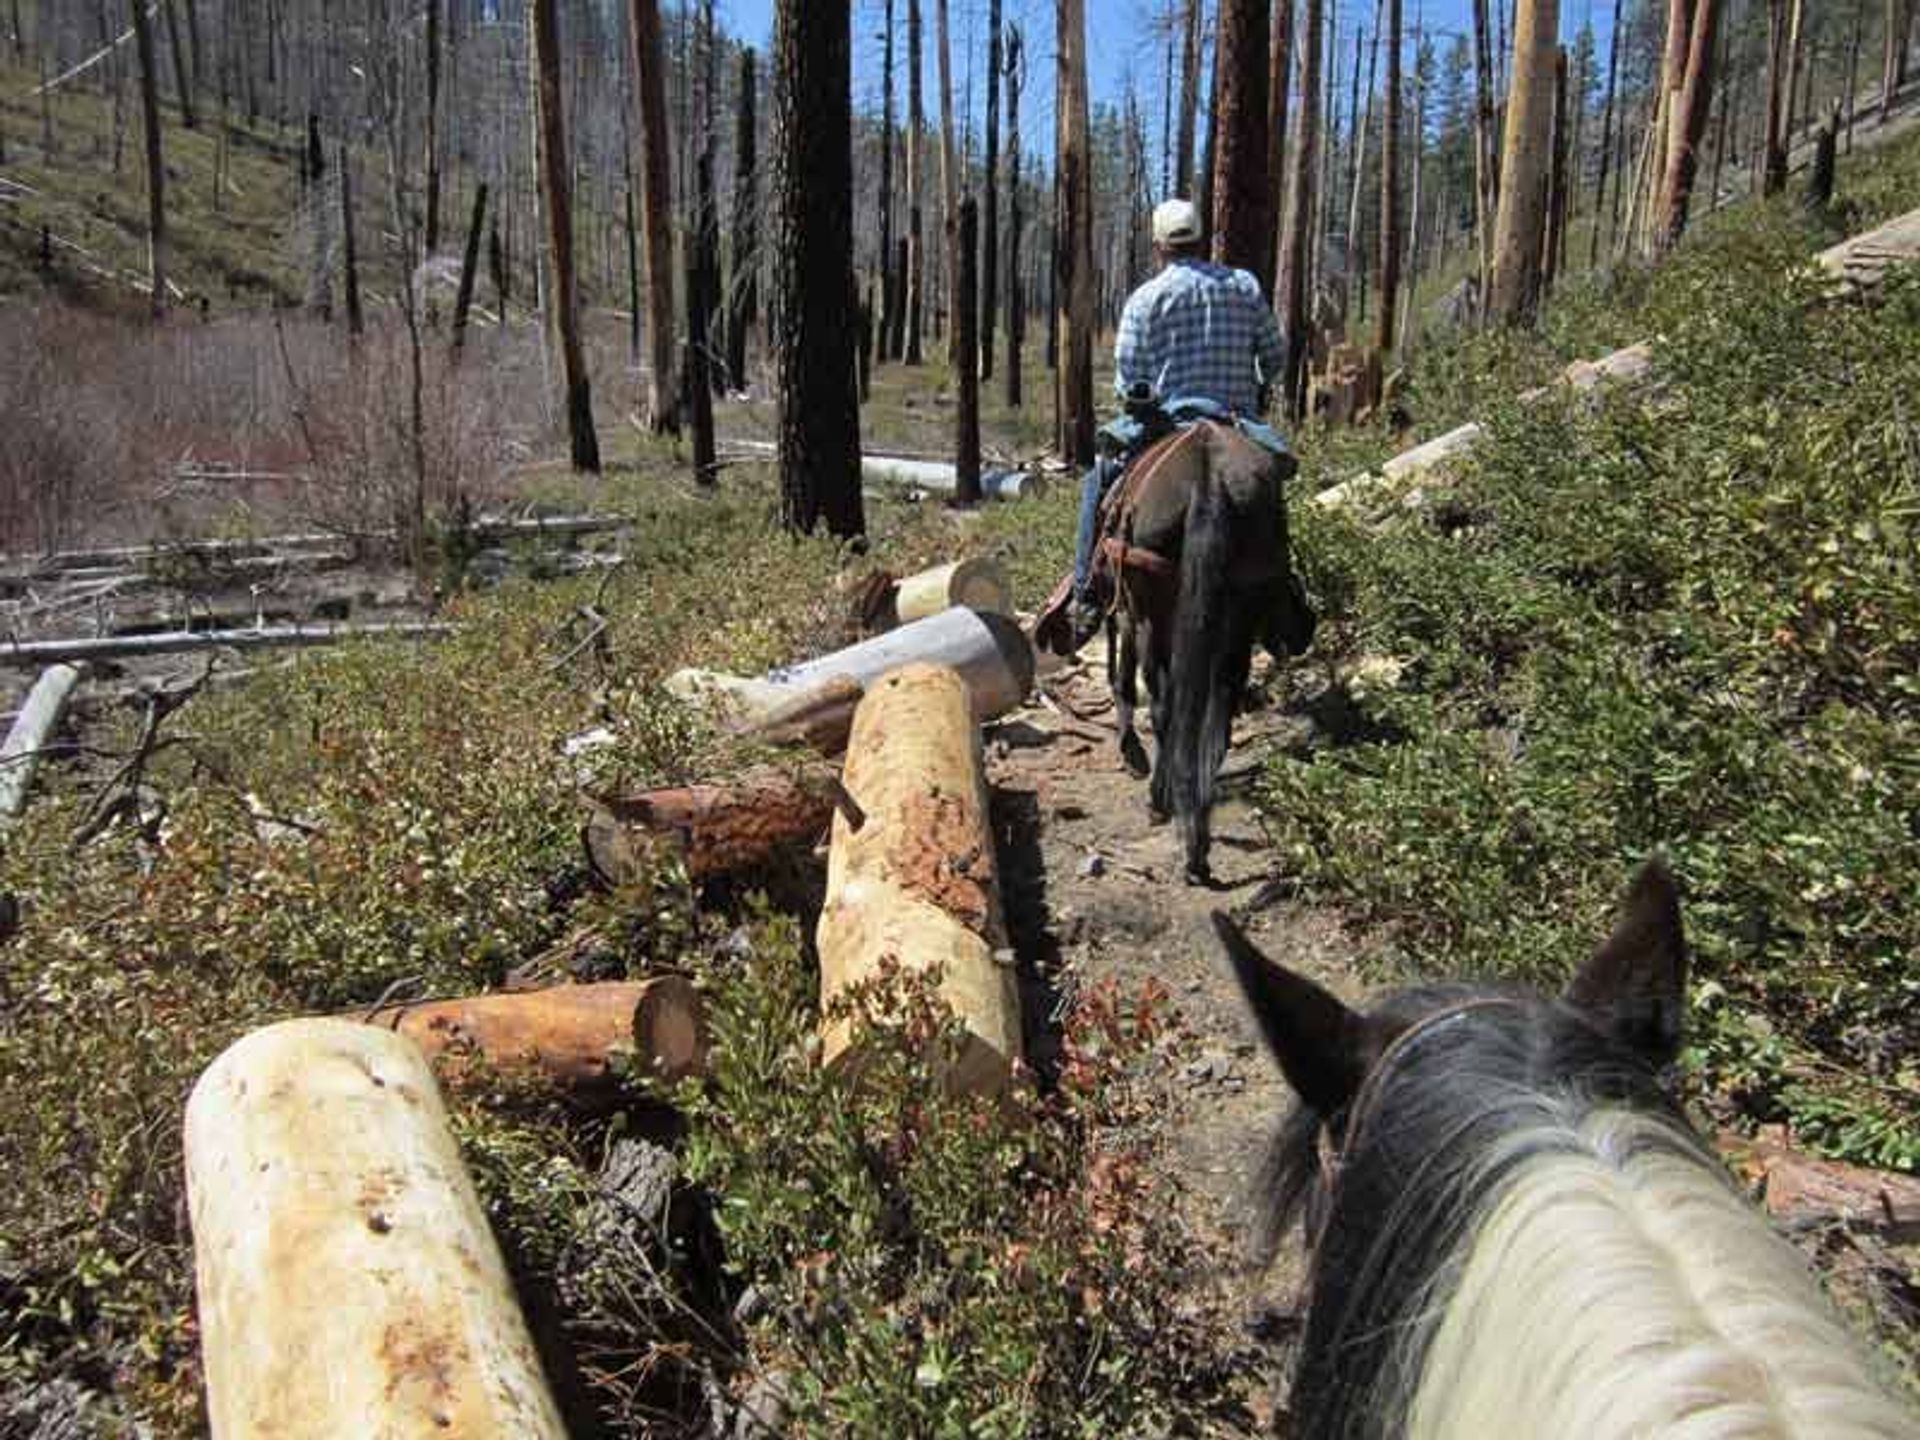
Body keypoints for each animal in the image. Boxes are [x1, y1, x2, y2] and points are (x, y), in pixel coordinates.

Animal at [1098, 422, 1320, 887]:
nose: (1305, 630)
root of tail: (1208, 478)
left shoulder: (1130, 614)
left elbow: (1128, 681)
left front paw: (1132, 754)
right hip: (1236, 611)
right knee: (1218, 711)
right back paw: (1196, 839)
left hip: (1156, 614)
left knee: (1164, 706)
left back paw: (1165, 805)